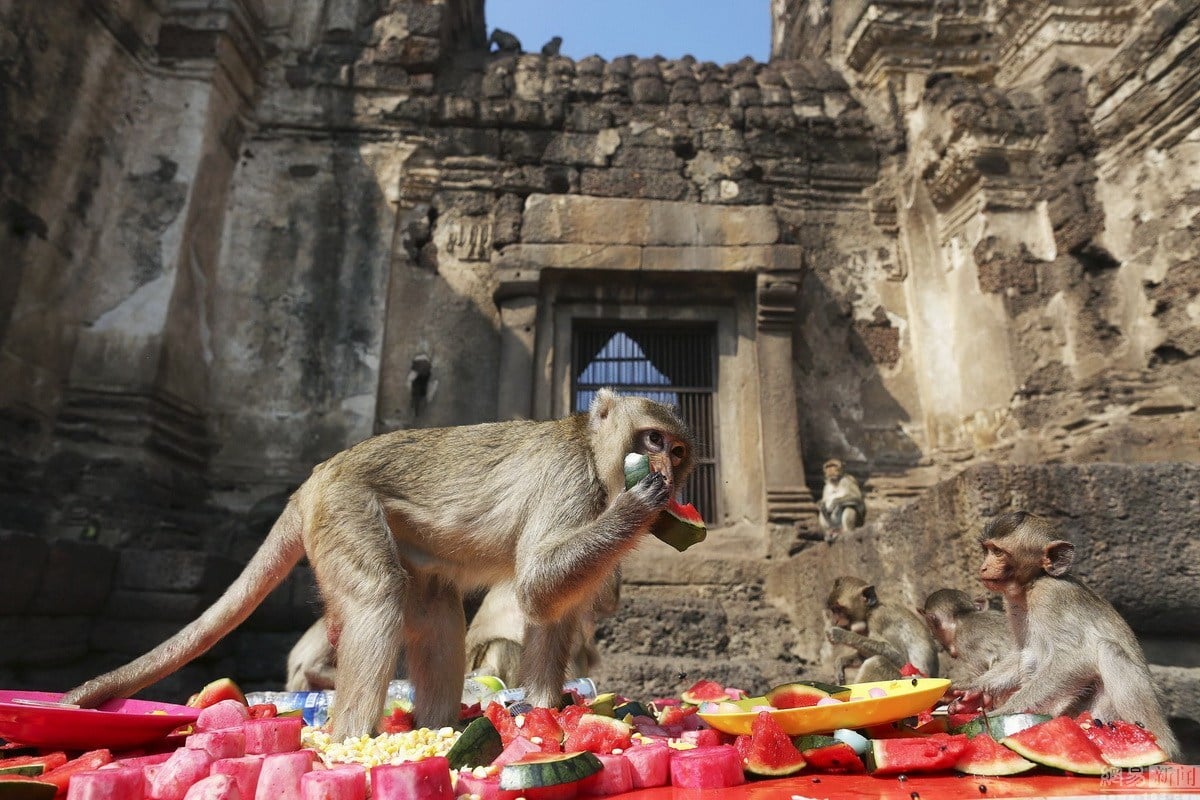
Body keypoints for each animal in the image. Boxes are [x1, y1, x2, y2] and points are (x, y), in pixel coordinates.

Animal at [64, 389, 695, 741]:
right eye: (652, 439)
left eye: (678, 449)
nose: (668, 471)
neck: (594, 454)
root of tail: (317, 475)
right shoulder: (571, 480)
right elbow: (538, 585)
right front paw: (639, 506)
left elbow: (550, 610)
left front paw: (542, 709)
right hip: (344, 508)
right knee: (377, 594)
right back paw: (352, 739)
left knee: (435, 611)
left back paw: (441, 726)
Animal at [950, 511, 1179, 759]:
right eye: (987, 550)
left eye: (999, 552)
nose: (983, 567)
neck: (1032, 584)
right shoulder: (1013, 604)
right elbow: (1021, 652)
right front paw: (973, 692)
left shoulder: (1051, 595)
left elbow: (1075, 659)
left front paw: (1003, 710)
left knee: (1109, 650)